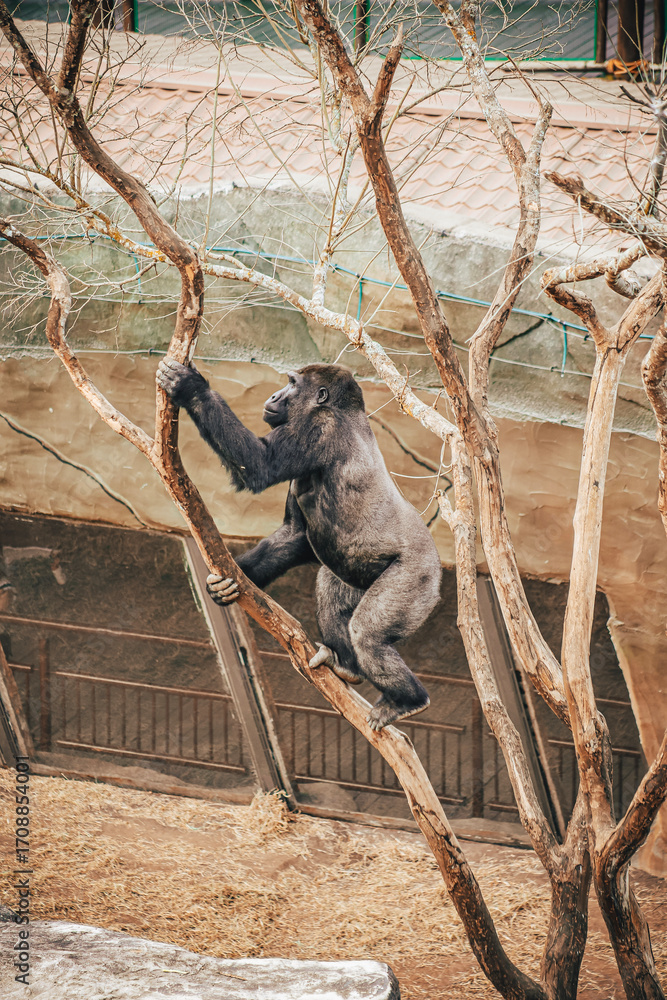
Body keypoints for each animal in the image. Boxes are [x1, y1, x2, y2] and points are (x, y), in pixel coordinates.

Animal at [156, 359, 442, 731]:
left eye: (292, 384)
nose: (274, 395)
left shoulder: (317, 428)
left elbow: (259, 463)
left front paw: (191, 387)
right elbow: (294, 535)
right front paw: (233, 580)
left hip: (418, 578)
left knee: (368, 634)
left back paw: (407, 700)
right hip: (358, 578)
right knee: (333, 595)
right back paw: (346, 666)